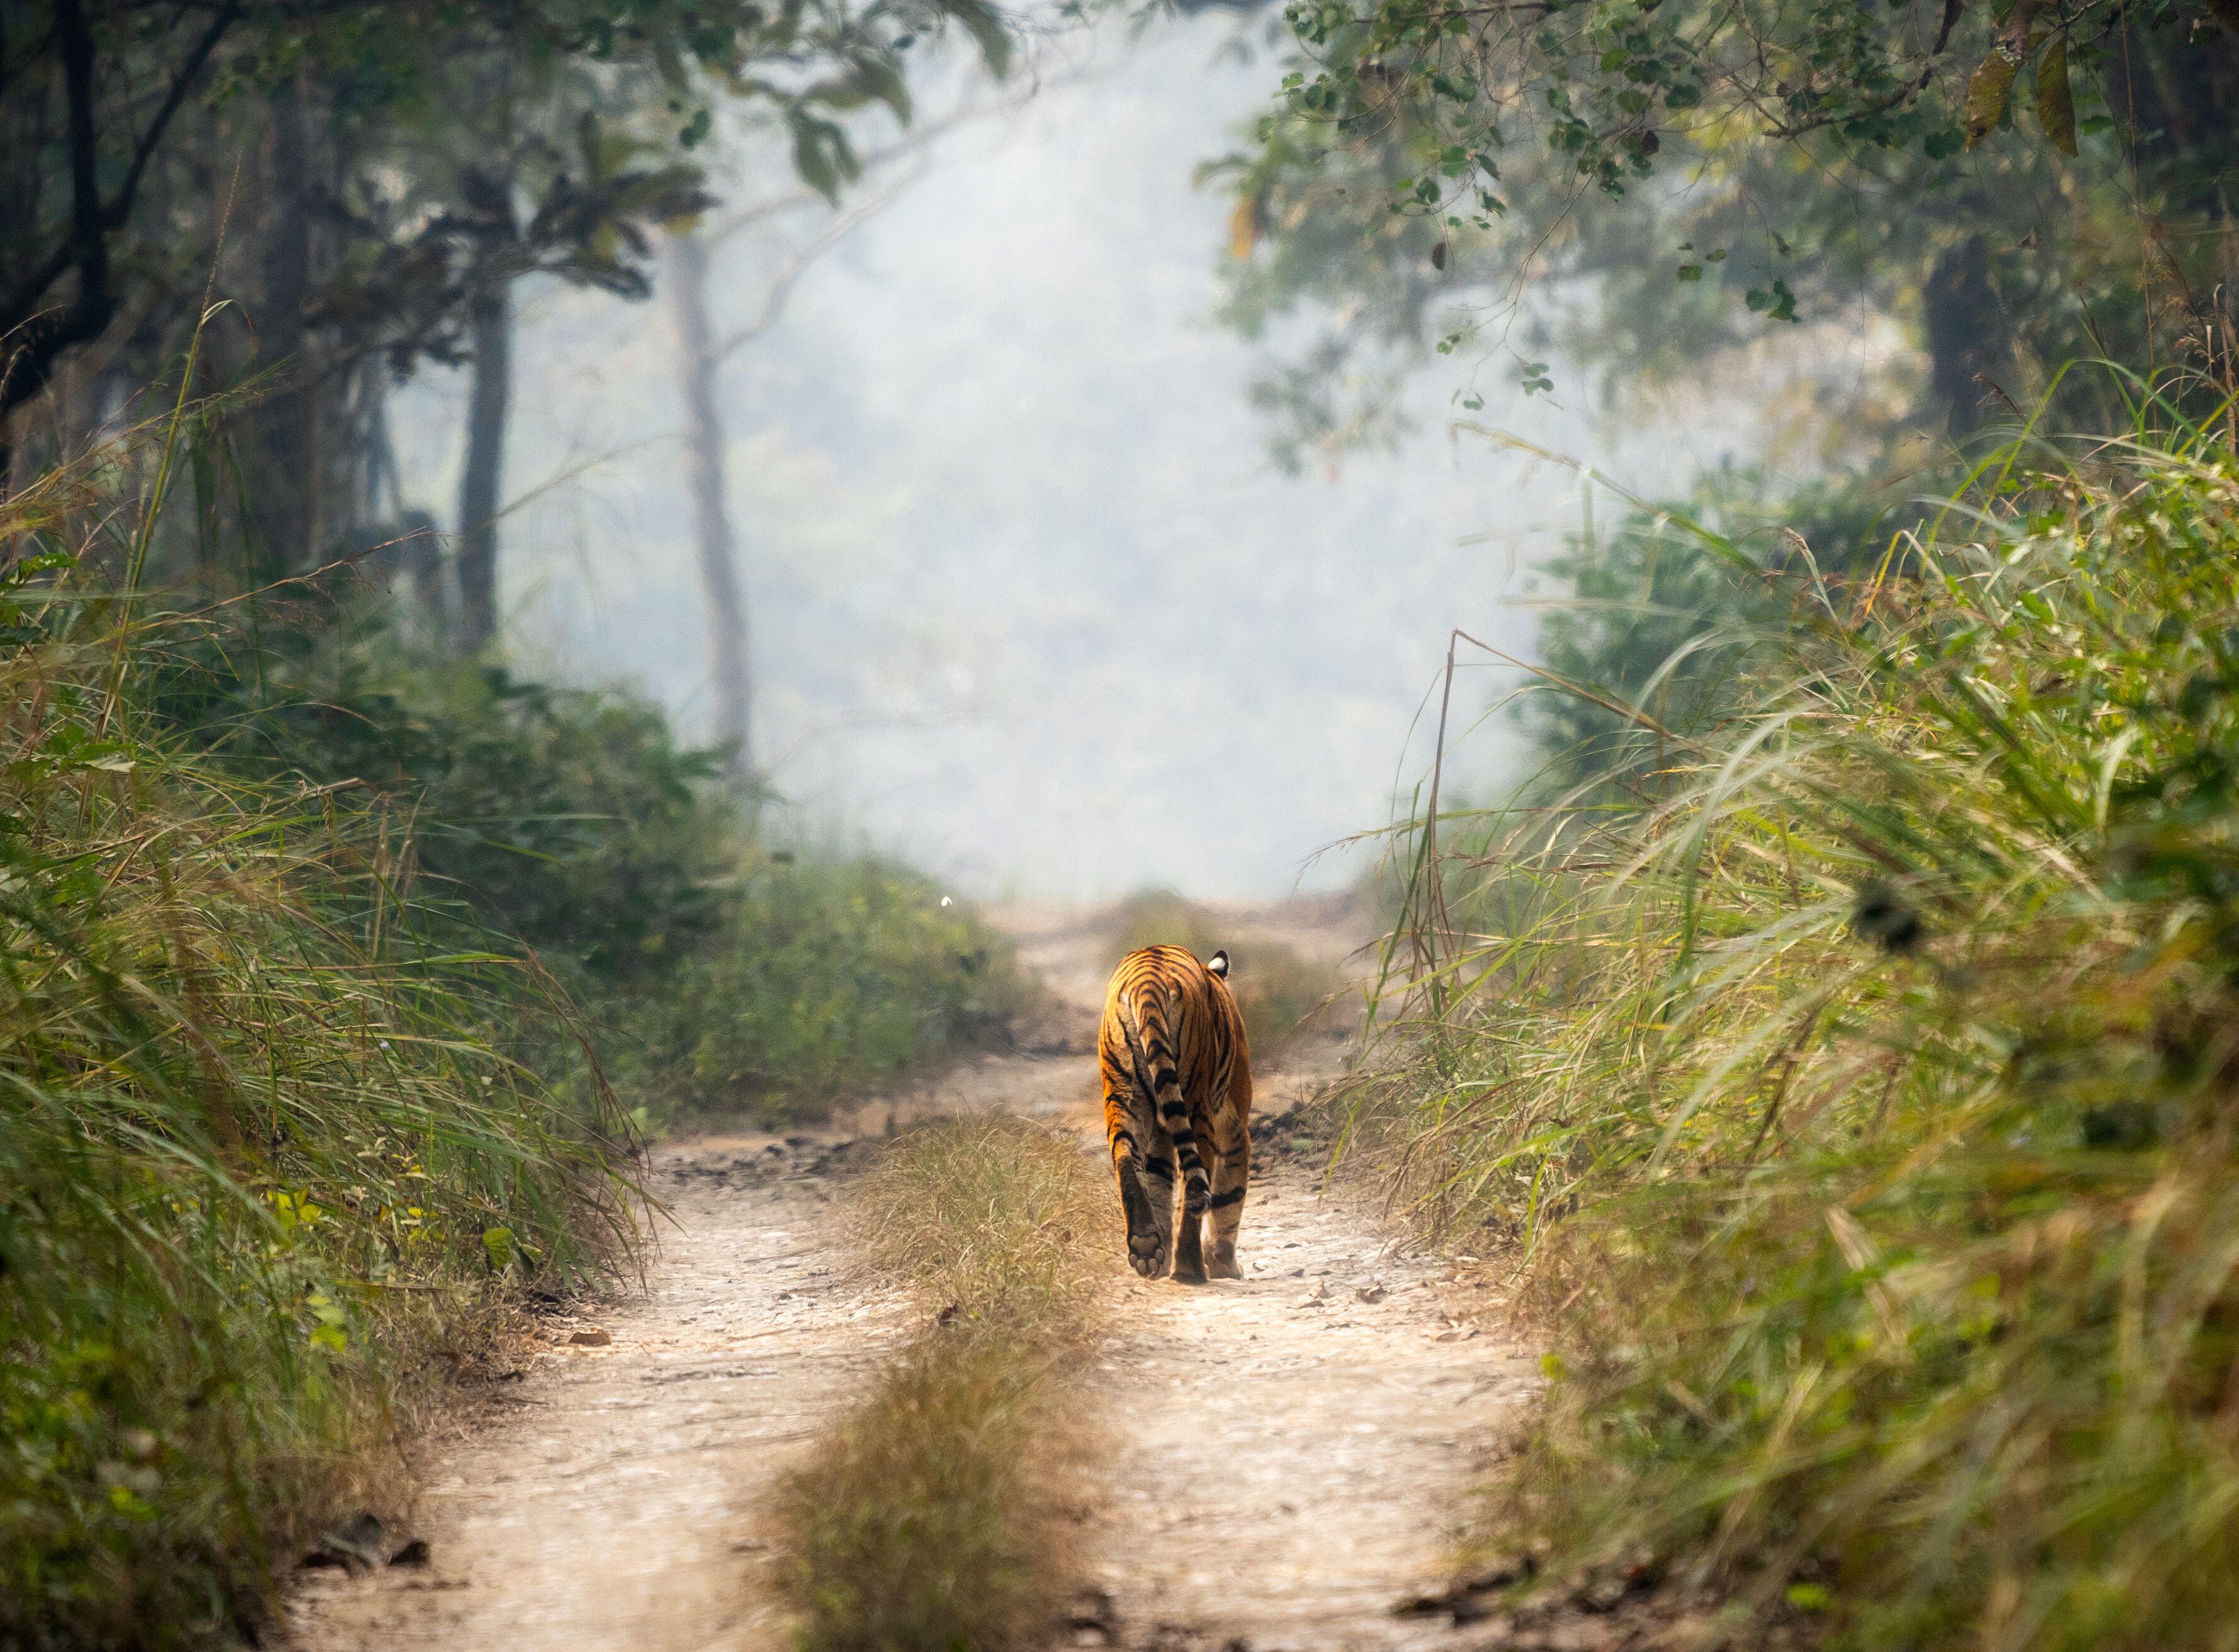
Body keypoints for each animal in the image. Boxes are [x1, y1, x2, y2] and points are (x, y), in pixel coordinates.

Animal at [1101, 944, 1262, 1280]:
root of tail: (1146, 984)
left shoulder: (1159, 1131)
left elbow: (1158, 1183)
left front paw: (1161, 1261)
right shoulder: (1235, 1129)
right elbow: (1229, 1197)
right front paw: (1224, 1265)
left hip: (1122, 1095)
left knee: (1125, 1158)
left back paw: (1146, 1247)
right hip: (1197, 1106)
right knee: (1195, 1183)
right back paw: (1192, 1270)